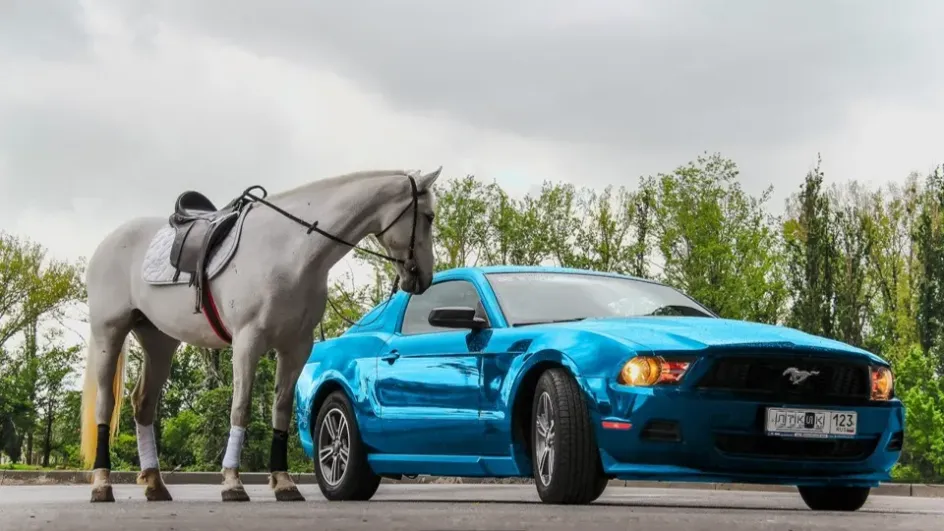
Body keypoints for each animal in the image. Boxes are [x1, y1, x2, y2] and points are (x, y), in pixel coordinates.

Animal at [78, 168, 442, 504]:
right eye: (428, 216)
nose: (423, 277)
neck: (290, 251)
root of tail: (108, 242)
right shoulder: (247, 342)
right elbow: (240, 409)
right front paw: (232, 483)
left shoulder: (295, 347)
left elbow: (280, 409)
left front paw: (283, 482)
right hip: (109, 333)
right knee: (106, 404)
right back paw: (102, 484)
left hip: (159, 341)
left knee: (143, 404)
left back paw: (155, 484)